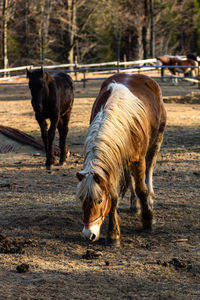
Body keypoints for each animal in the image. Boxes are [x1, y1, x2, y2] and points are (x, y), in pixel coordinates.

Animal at [76, 74, 166, 245]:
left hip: (156, 142)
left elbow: (142, 190)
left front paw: (148, 221)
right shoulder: (111, 165)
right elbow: (113, 196)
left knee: (149, 170)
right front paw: (113, 235)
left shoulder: (138, 160)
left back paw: (149, 200)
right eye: (81, 200)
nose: (88, 234)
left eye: (99, 201)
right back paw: (134, 204)